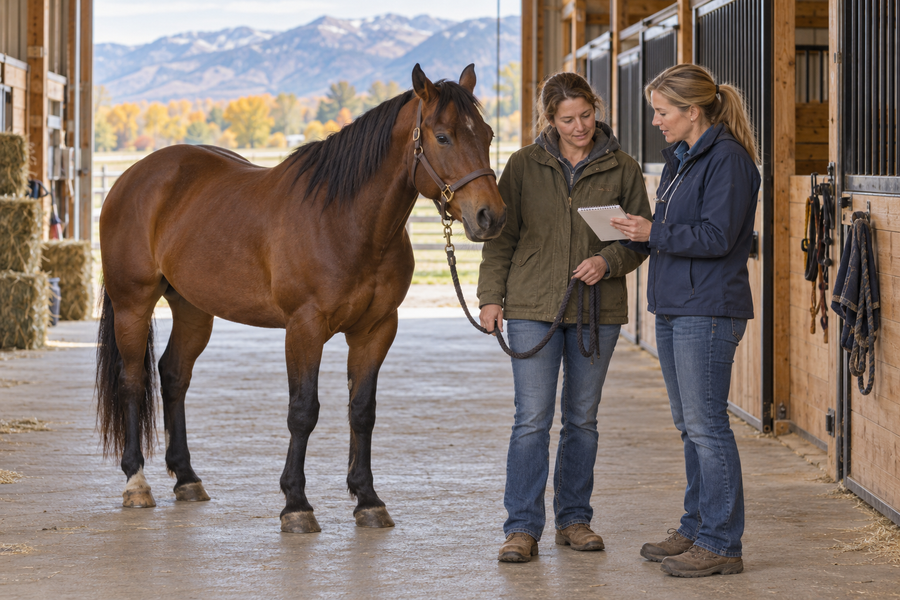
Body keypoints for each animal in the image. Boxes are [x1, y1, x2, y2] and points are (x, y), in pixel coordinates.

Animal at [95, 64, 506, 533]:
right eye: (442, 137)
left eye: (488, 134)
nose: (490, 216)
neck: (345, 220)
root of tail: (132, 178)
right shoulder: (304, 328)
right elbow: (303, 410)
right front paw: (296, 504)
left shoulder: (376, 329)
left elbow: (362, 410)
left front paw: (367, 499)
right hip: (133, 304)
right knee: (132, 381)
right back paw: (136, 482)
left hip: (193, 309)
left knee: (174, 375)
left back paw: (187, 478)